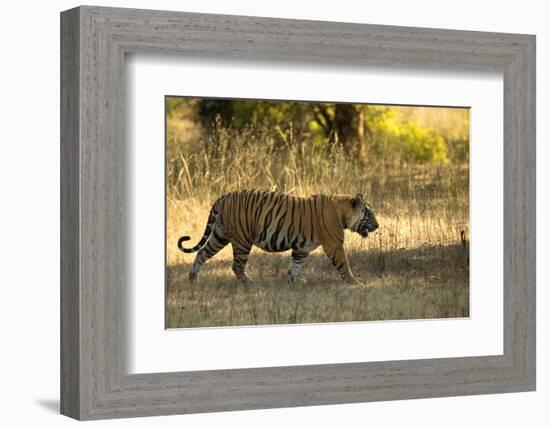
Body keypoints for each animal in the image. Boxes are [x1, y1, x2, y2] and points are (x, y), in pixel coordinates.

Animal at [177, 190, 380, 284]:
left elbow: (296, 264)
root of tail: (223, 197)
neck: (343, 212)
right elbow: (344, 264)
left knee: (201, 253)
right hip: (242, 240)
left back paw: (193, 279)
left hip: (219, 235)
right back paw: (250, 283)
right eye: (369, 213)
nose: (378, 226)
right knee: (236, 266)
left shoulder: (301, 247)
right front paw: (354, 282)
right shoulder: (334, 245)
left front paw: (295, 281)